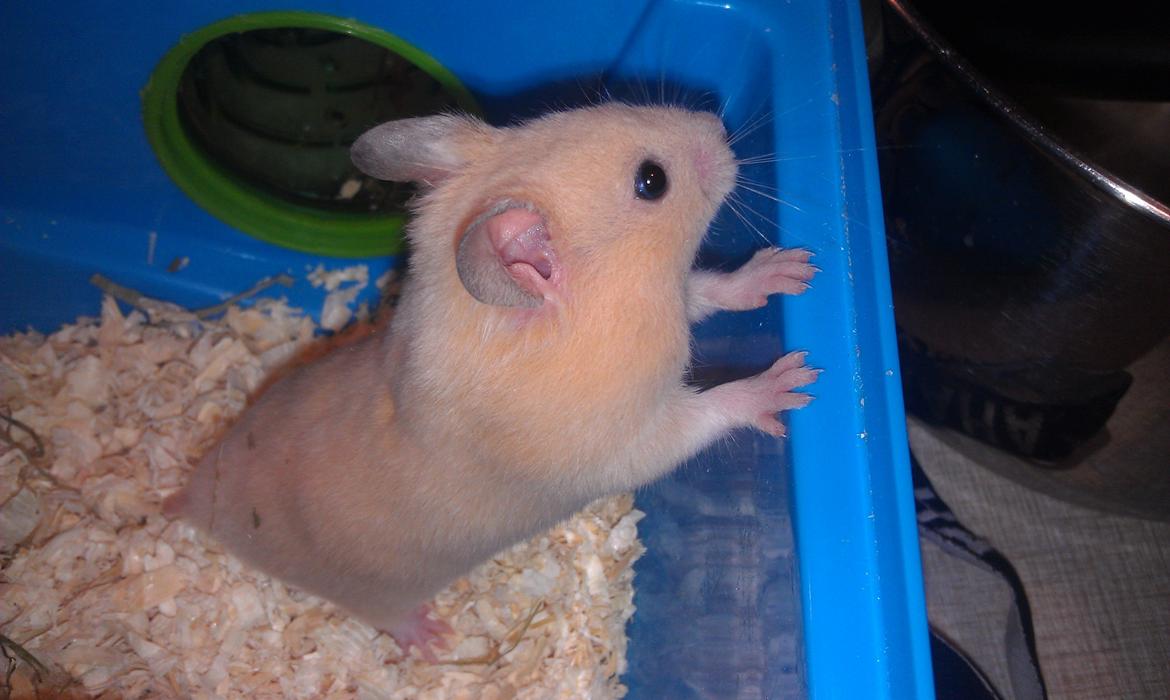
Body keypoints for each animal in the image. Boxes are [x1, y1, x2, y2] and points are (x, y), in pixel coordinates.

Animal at [164, 103, 819, 657]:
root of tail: (198, 500)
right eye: (651, 181)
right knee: (384, 614)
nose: (717, 123)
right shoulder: (629, 442)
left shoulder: (674, 301)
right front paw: (793, 381)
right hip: (370, 592)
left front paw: (791, 271)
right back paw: (433, 641)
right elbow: (708, 411)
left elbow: (704, 290)